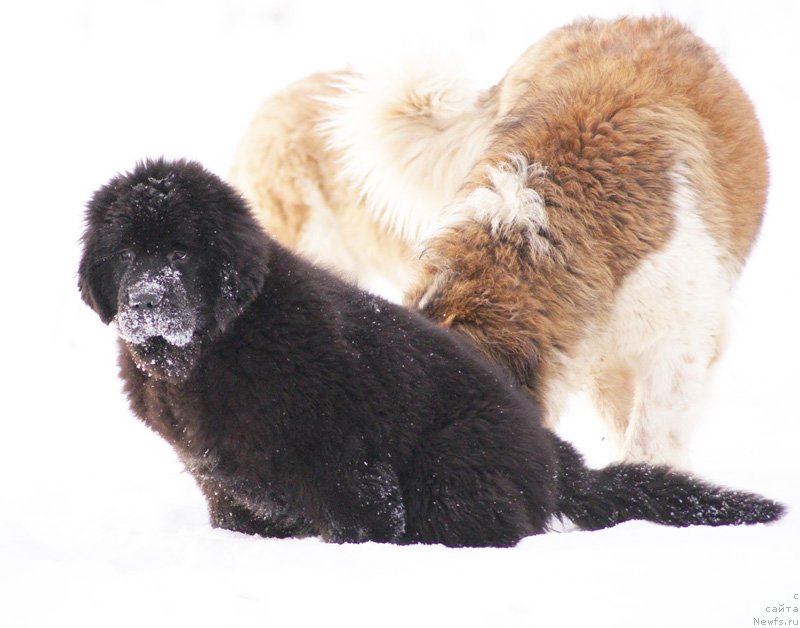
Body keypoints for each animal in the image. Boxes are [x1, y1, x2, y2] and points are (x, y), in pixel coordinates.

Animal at [79, 159, 780, 548]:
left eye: (179, 254)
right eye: (128, 253)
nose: (145, 301)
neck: (216, 350)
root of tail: (559, 459)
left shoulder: (345, 452)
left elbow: (361, 520)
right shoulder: (220, 479)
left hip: (453, 462)